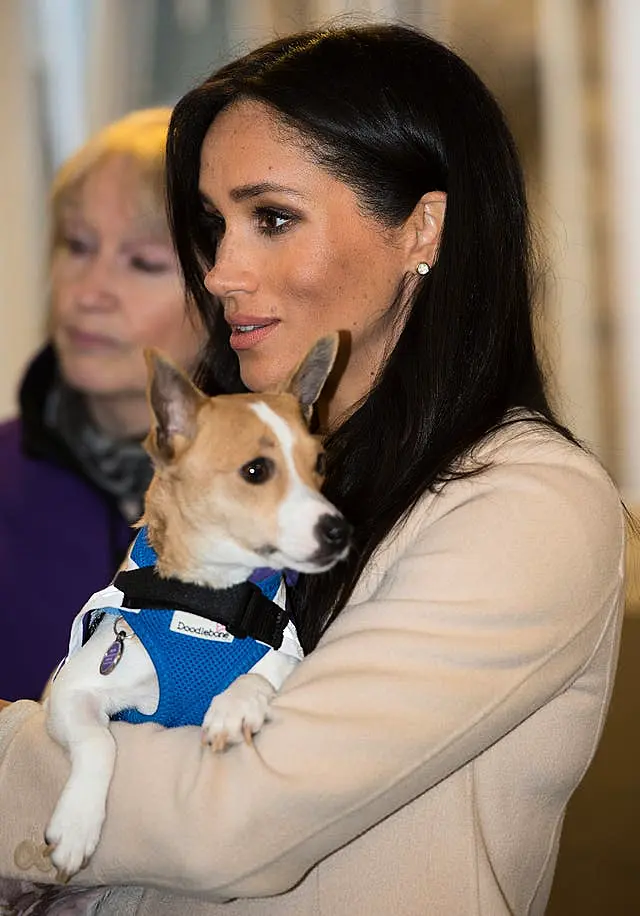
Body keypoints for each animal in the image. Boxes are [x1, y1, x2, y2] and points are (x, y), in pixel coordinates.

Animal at [41, 334, 350, 880]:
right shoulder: (70, 692)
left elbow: (262, 671)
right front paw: (77, 825)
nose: (339, 531)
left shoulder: (290, 656)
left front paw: (233, 705)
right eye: (256, 471)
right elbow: (100, 742)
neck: (213, 602)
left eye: (319, 465)